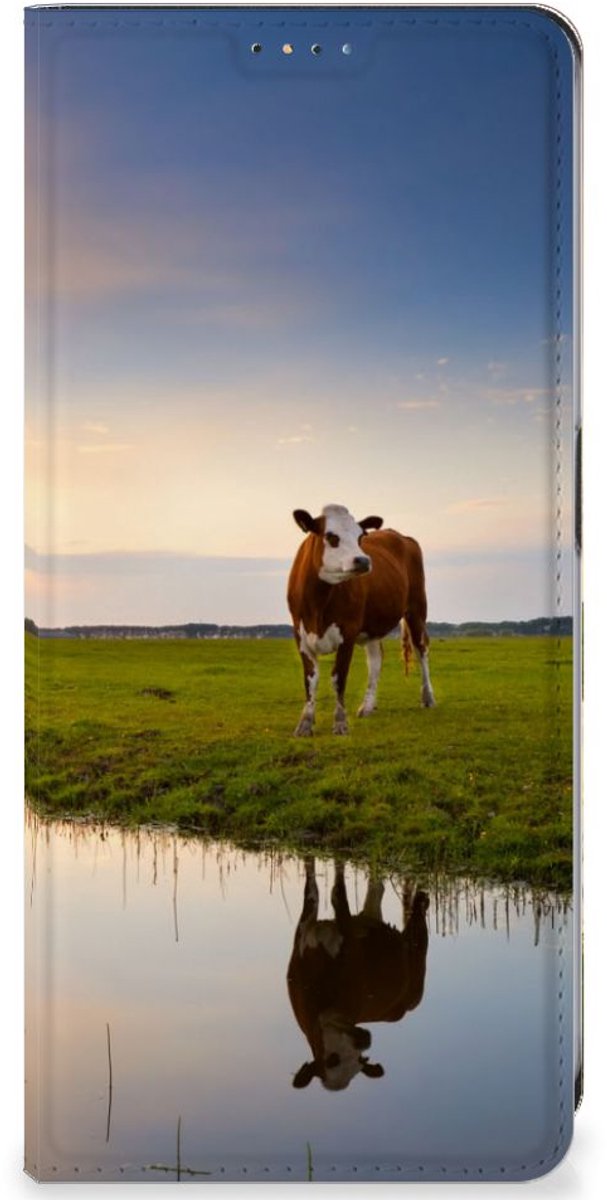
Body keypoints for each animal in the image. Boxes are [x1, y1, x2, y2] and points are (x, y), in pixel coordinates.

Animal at [287, 503, 435, 736]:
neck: (318, 603)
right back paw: (367, 706)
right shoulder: (300, 635)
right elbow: (310, 679)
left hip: (417, 609)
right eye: (331, 536)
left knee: (422, 650)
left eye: (360, 537)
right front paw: (305, 723)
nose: (364, 560)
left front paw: (340, 723)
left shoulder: (348, 632)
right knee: (376, 660)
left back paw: (427, 697)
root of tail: (400, 535)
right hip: (373, 626)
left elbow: (338, 677)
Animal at [287, 858, 429, 1091]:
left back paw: (422, 899)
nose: (365, 1040)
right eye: (332, 1060)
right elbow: (312, 889)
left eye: (360, 1061)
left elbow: (337, 893)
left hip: (417, 960)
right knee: (377, 888)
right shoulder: (303, 932)